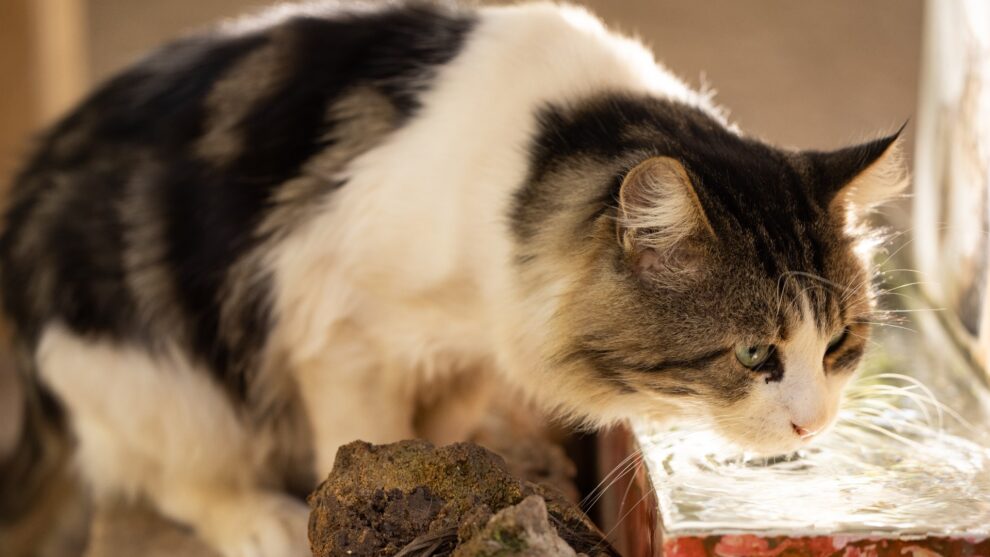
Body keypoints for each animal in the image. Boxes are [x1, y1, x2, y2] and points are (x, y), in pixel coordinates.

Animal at [0, 1, 908, 556]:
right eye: (754, 355)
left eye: (839, 346)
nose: (813, 424)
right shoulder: (338, 327)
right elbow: (359, 439)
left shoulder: (469, 346)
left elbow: (440, 424)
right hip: (148, 369)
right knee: (173, 473)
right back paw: (265, 518)